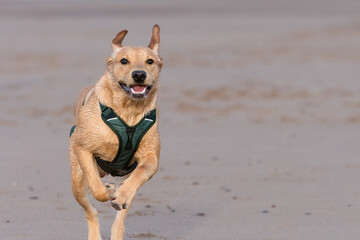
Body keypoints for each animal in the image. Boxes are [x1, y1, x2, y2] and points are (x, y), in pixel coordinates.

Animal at [68, 24, 163, 240]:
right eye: (124, 61)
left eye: (150, 61)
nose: (139, 75)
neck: (129, 112)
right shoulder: (82, 147)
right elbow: (96, 188)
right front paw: (107, 191)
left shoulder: (151, 155)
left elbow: (143, 169)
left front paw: (120, 196)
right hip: (76, 180)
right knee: (90, 210)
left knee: (119, 218)